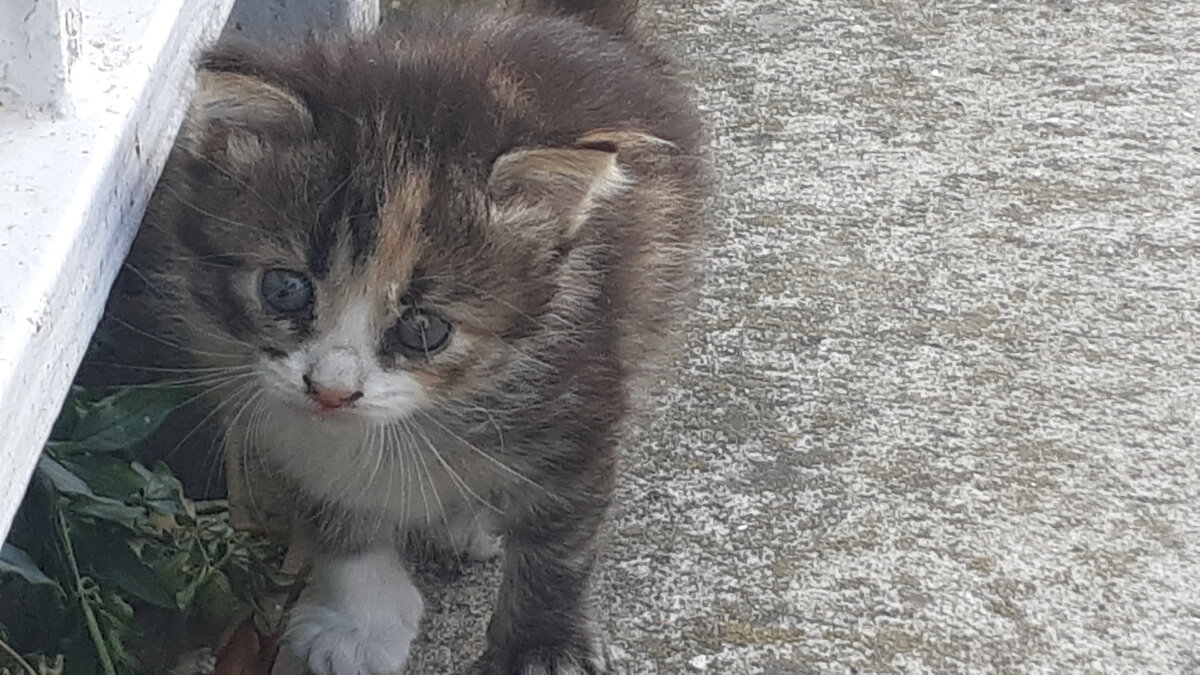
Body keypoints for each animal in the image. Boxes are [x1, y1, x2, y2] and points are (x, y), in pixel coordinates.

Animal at [119, 2, 700, 667]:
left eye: (425, 329)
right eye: (284, 289)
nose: (332, 391)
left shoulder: (579, 395)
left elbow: (561, 540)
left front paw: (542, 644)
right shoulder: (269, 411)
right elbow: (338, 513)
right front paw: (361, 625)